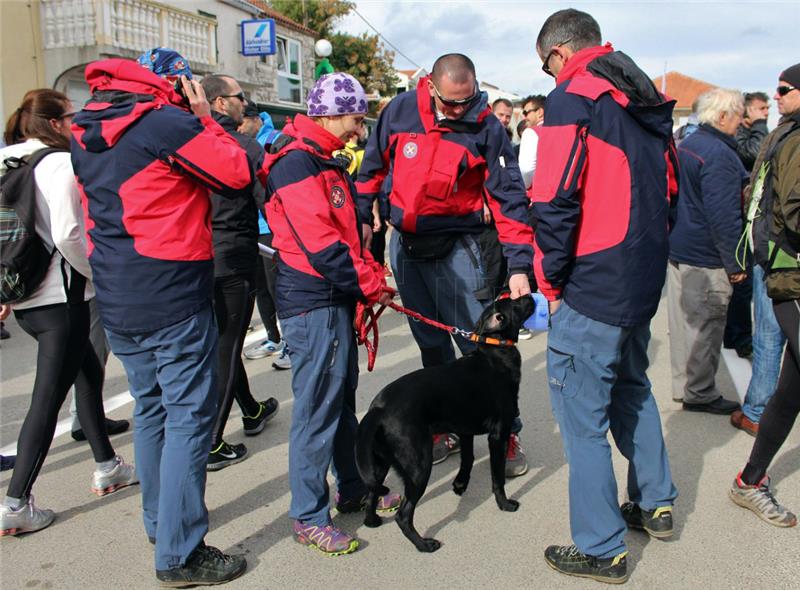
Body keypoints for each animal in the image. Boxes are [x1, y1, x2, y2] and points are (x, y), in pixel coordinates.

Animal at [354, 296, 532, 556]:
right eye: (515, 304)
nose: (530, 295)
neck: (495, 351)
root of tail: (378, 408)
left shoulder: (466, 431)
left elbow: (467, 459)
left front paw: (460, 484)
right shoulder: (498, 434)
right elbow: (497, 476)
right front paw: (504, 503)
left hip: (380, 464)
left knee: (370, 494)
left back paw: (373, 521)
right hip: (418, 466)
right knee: (403, 515)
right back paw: (424, 545)